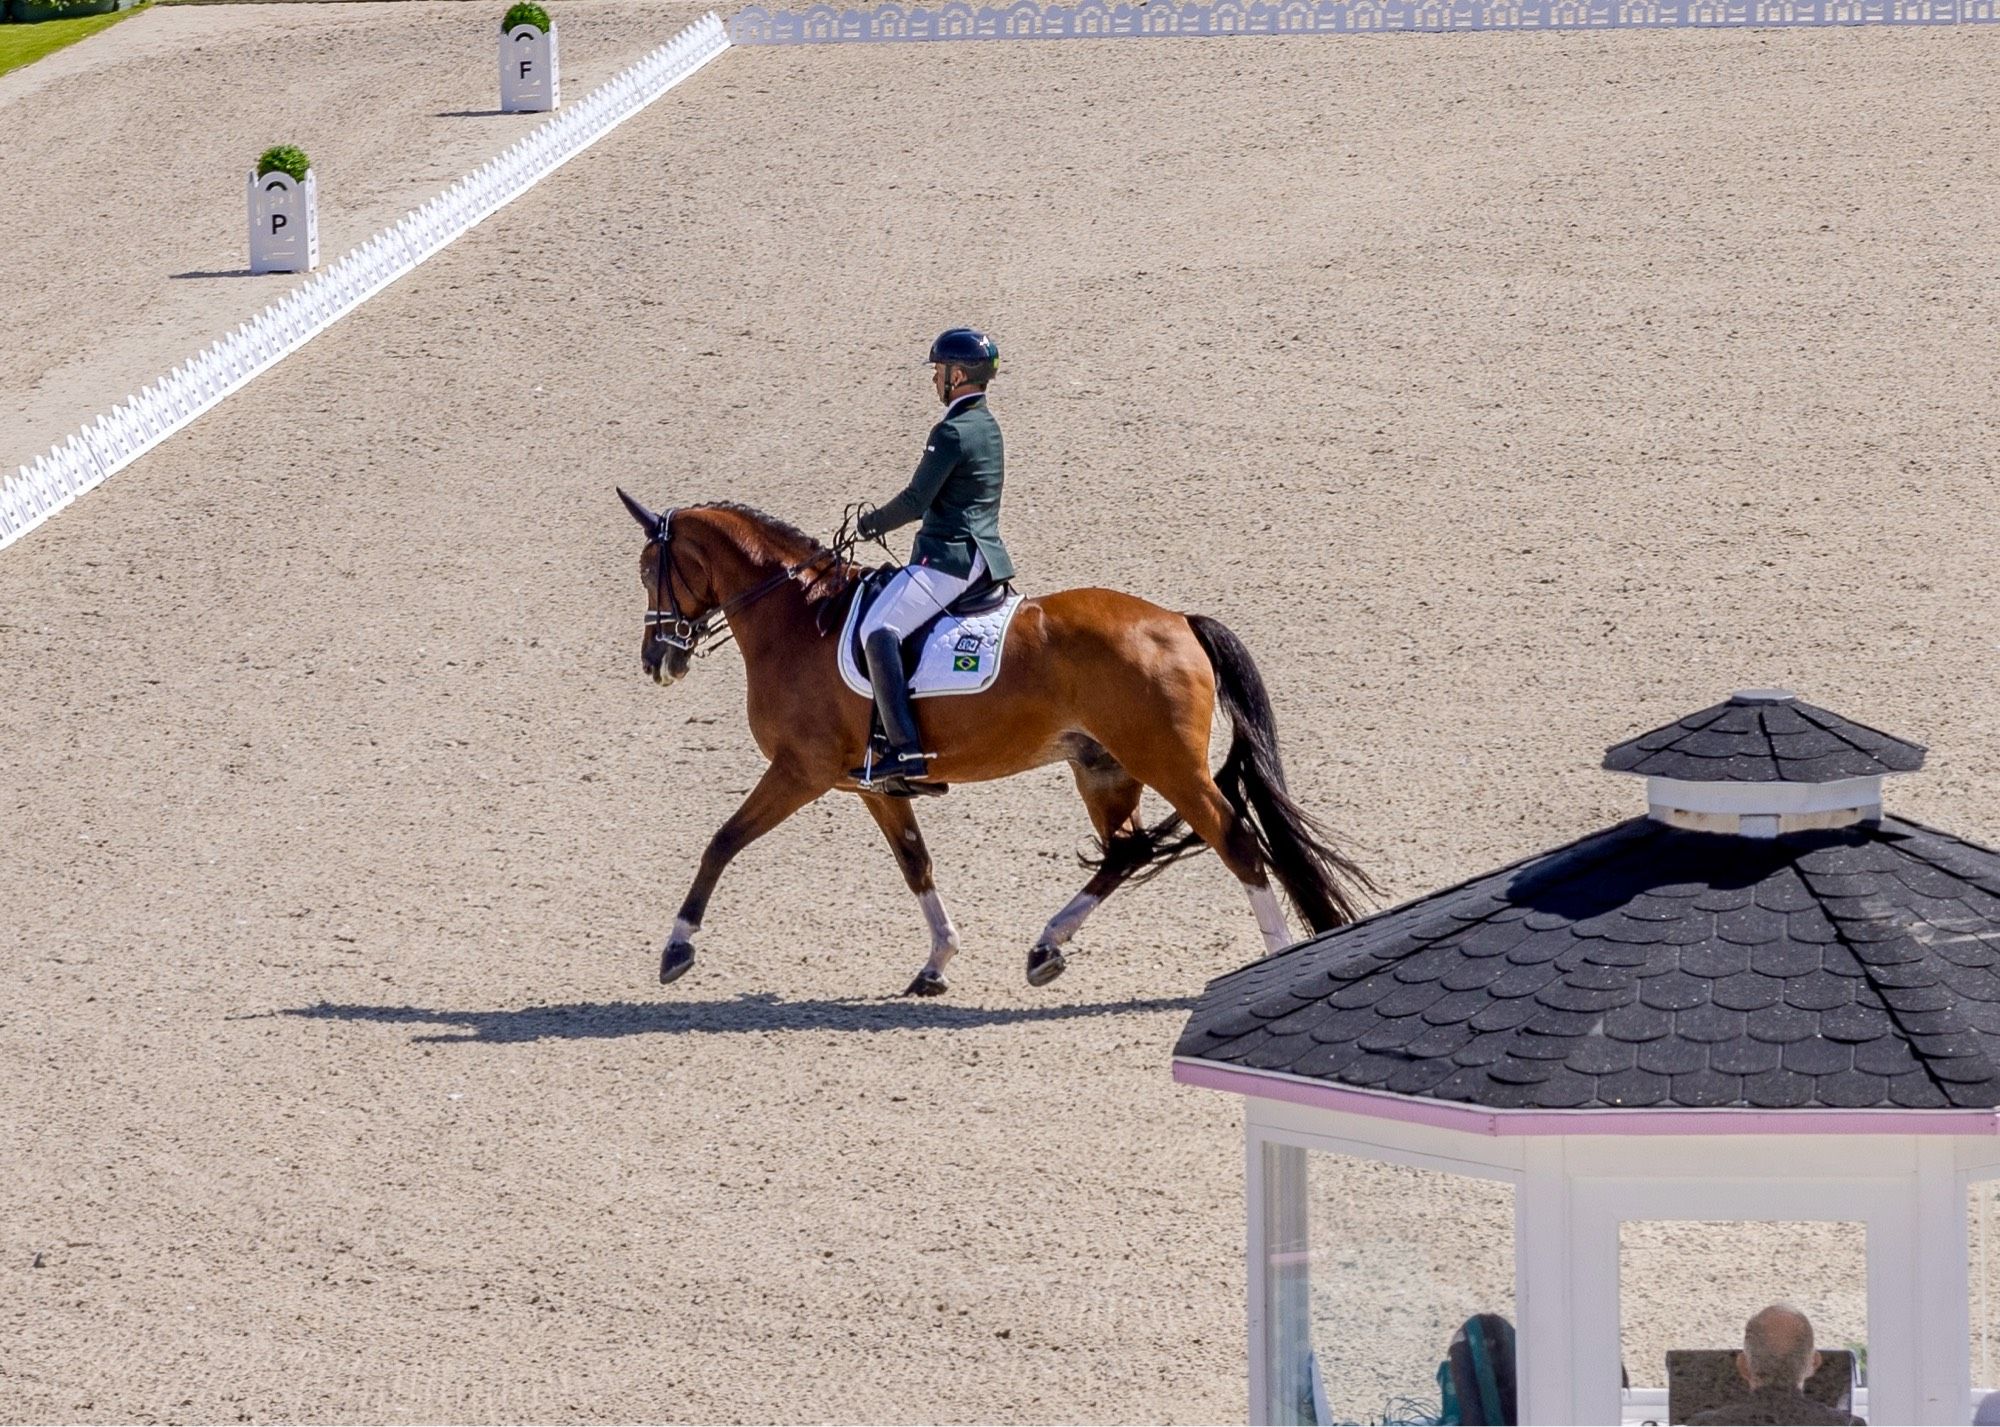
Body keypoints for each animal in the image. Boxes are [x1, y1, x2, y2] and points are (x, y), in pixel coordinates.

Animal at [620, 495, 1376, 995]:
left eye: (650, 571)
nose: (658, 661)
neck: (799, 620)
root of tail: (1179, 621)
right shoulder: (872, 785)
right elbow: (916, 864)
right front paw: (937, 962)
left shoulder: (799, 771)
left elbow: (721, 841)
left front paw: (677, 948)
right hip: (1103, 768)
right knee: (1126, 850)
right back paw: (1045, 947)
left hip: (1166, 764)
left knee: (1235, 843)